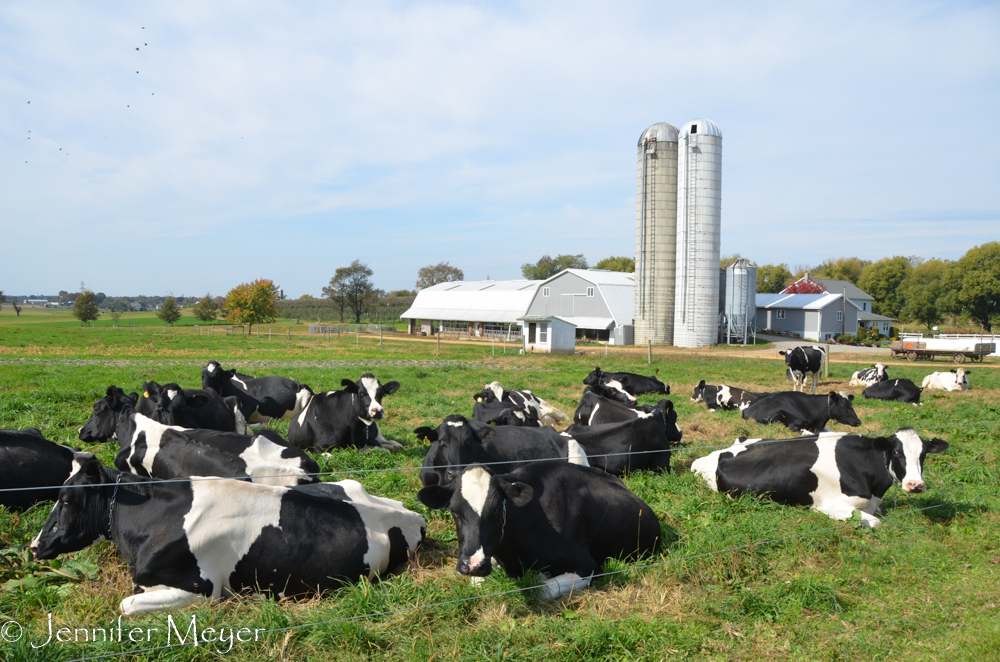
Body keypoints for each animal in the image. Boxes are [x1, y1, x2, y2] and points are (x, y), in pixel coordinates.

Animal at [416, 464, 660, 600]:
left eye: (497, 509)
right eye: (454, 511)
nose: (473, 565)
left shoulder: (587, 565)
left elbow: (541, 590)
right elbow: (478, 582)